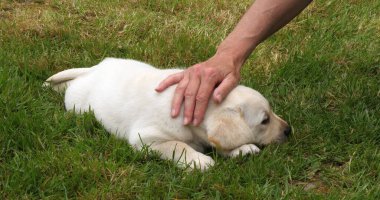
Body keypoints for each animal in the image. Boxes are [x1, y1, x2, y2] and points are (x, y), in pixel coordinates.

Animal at [46, 57, 290, 170]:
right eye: (265, 120)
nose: (289, 130)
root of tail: (94, 69)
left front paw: (242, 148)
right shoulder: (146, 138)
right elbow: (178, 146)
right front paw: (200, 161)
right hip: (78, 103)